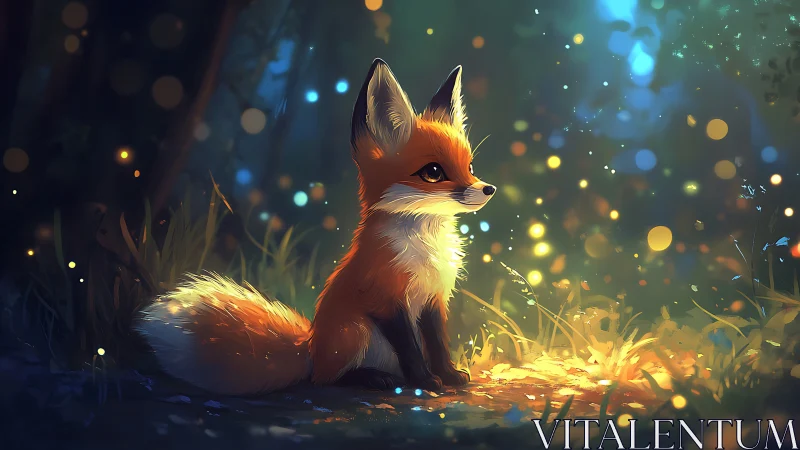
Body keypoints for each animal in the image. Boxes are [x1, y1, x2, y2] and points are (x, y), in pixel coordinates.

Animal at [135, 59, 496, 396]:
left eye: (469, 166)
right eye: (433, 172)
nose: (488, 189)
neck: (425, 248)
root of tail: (309, 348)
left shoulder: (434, 300)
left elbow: (437, 344)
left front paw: (448, 375)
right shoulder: (386, 299)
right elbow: (410, 349)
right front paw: (425, 381)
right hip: (356, 331)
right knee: (327, 378)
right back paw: (372, 377)